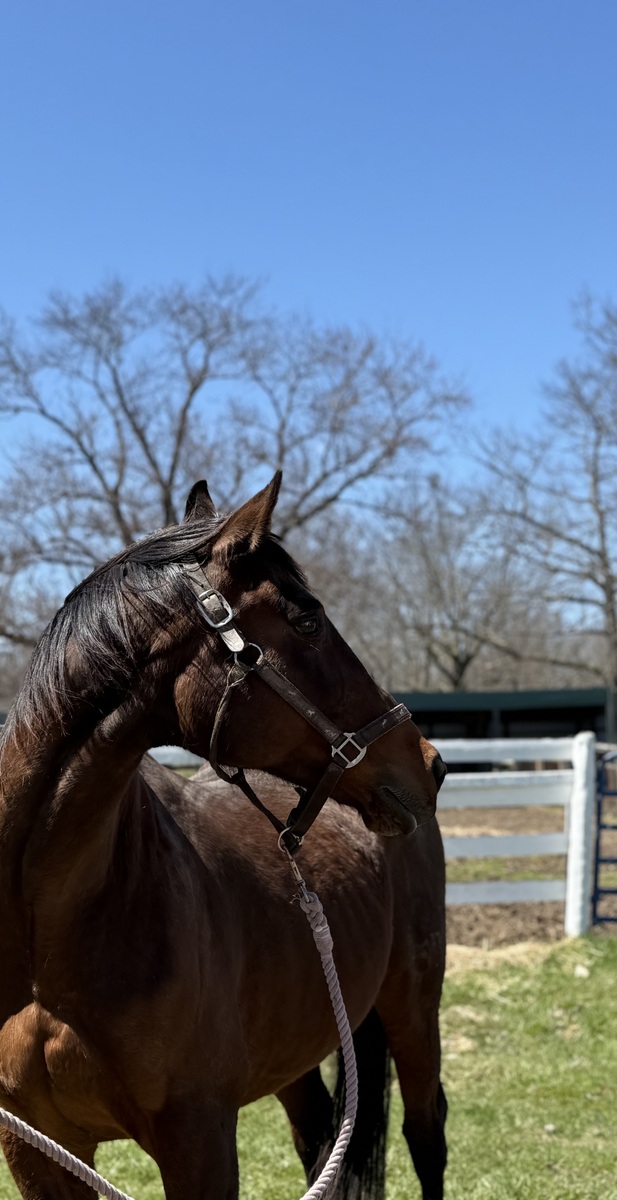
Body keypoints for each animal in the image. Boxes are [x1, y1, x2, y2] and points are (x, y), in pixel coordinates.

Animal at [0, 471, 447, 1200]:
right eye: (306, 620)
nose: (429, 763)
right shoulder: (36, 1148)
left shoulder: (199, 1139)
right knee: (319, 1137)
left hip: (413, 1001)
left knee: (426, 1133)